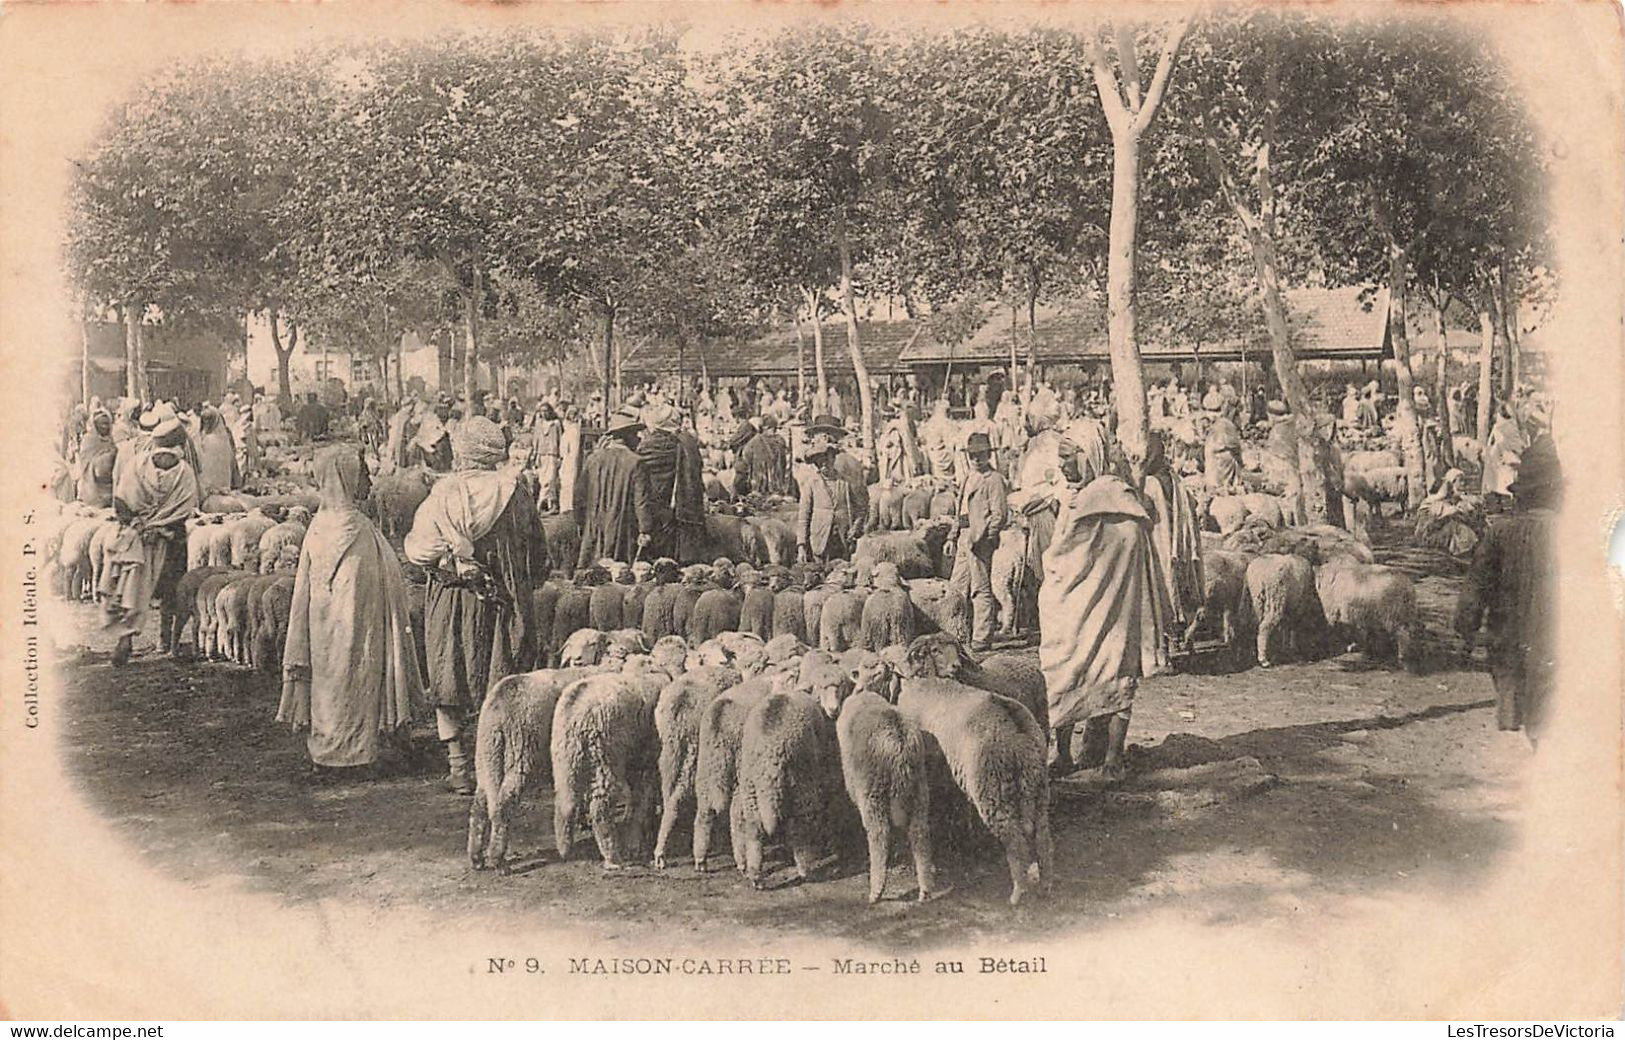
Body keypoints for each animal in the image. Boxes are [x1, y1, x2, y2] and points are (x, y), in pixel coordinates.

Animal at [552, 669, 659, 864]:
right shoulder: (647, 759)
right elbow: (643, 799)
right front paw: (637, 841)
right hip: (603, 758)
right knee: (599, 808)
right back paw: (612, 855)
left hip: (564, 759)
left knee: (564, 802)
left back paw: (564, 850)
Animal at [838, 689, 942, 903]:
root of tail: (899, 741)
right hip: (919, 788)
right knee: (919, 833)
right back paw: (925, 888)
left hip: (873, 793)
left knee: (879, 834)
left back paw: (876, 890)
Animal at [897, 643, 1046, 903]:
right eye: (936, 650)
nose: (956, 666)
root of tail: (1018, 730)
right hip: (1036, 786)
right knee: (1042, 837)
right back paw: (1047, 883)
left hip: (993, 790)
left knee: (1015, 840)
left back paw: (1018, 893)